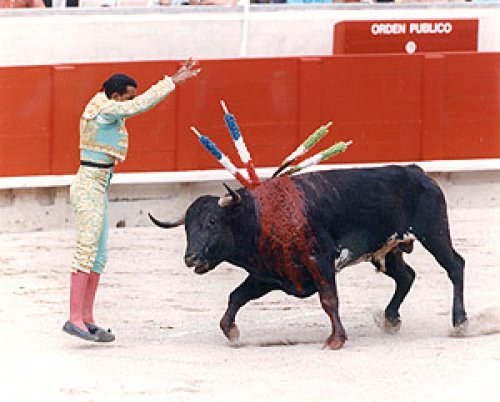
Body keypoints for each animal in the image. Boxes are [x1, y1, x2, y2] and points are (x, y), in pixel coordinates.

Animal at [150, 164, 466, 348]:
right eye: (187, 227)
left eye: (213, 221)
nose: (191, 258)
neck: (260, 217)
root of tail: (417, 171)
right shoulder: (267, 275)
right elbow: (236, 296)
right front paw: (231, 331)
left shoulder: (320, 261)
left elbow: (329, 300)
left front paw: (336, 340)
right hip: (388, 251)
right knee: (406, 276)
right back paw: (390, 319)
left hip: (434, 232)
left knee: (455, 266)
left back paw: (460, 322)